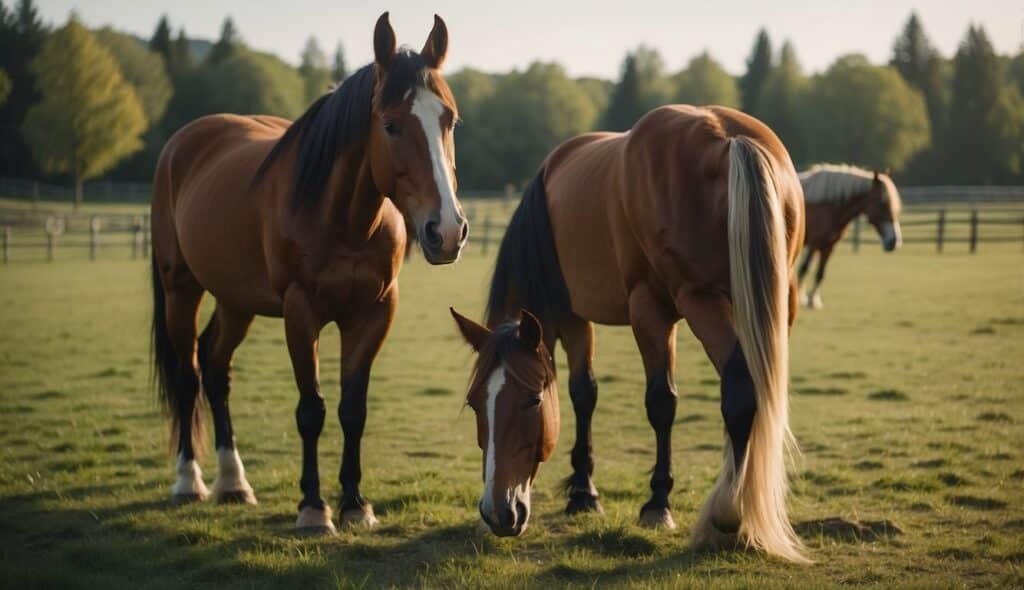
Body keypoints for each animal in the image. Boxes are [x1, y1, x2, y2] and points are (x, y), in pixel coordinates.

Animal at [149, 12, 466, 532]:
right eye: (391, 124)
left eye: (449, 120)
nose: (448, 230)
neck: (344, 220)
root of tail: (184, 142)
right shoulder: (301, 313)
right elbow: (311, 410)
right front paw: (314, 507)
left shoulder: (374, 313)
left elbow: (353, 409)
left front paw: (355, 502)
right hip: (181, 289)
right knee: (189, 376)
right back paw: (188, 481)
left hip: (236, 301)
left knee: (216, 369)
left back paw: (233, 482)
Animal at [452, 103, 811, 561]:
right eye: (474, 403)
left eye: (531, 401)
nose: (498, 513)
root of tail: (727, 139)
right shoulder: (581, 318)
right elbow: (585, 394)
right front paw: (584, 492)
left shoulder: (607, 314)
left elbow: (655, 402)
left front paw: (654, 502)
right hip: (773, 303)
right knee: (759, 392)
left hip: (700, 301)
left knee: (739, 386)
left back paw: (728, 512)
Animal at [794, 162, 901, 309]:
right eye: (882, 204)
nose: (894, 241)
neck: (829, 206)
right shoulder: (814, 244)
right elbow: (805, 269)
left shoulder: (829, 246)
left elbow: (820, 273)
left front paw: (813, 300)